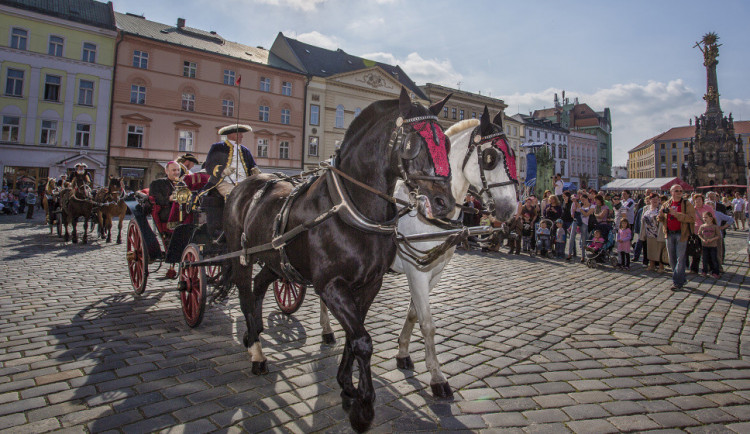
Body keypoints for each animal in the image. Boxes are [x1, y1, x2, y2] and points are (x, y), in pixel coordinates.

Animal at [214, 88, 456, 430]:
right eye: (411, 143)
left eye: (445, 142)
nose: (444, 201)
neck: (350, 208)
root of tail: (249, 181)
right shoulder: (330, 285)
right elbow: (363, 340)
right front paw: (363, 405)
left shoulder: (370, 284)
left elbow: (355, 336)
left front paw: (346, 384)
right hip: (242, 257)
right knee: (246, 296)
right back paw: (258, 354)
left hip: (275, 260)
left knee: (260, 287)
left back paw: (254, 333)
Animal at [320, 107, 520, 398]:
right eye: (491, 158)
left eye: (515, 155)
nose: (511, 209)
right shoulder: (416, 272)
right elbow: (427, 322)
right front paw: (437, 377)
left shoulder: (434, 270)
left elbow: (414, 314)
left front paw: (403, 352)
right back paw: (326, 330)